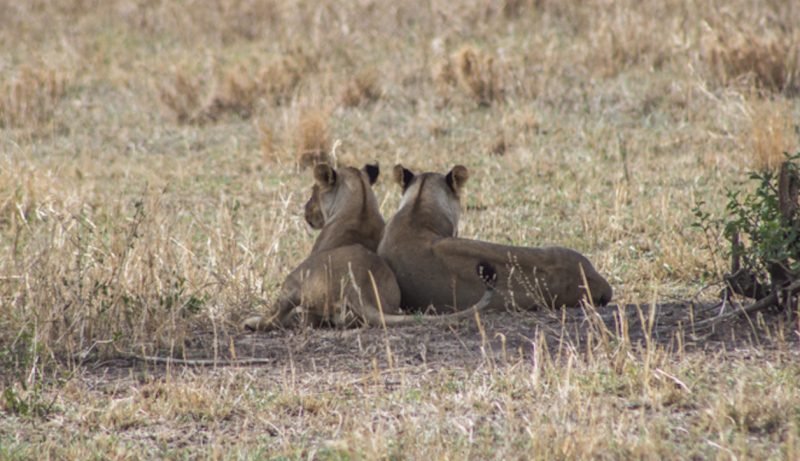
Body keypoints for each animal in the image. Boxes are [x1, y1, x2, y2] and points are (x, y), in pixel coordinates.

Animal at [241, 163, 497, 331]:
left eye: (314, 191)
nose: (306, 213)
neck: (360, 207)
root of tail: (357, 289)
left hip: (294, 280)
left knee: (277, 318)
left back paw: (251, 322)